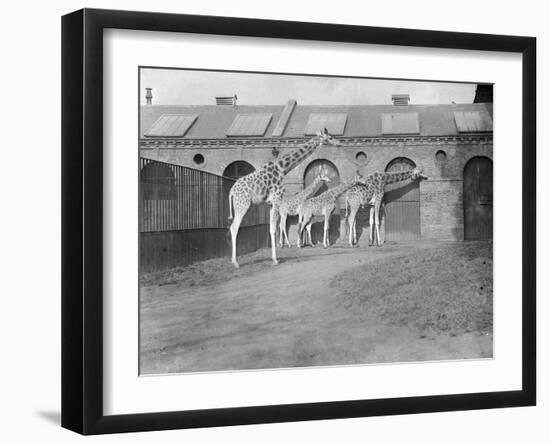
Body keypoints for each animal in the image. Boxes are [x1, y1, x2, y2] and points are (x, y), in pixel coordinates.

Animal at [230, 126, 340, 268]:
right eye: (330, 137)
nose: (338, 143)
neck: (282, 168)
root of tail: (232, 191)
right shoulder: (276, 199)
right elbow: (275, 229)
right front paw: (276, 259)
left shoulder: (271, 204)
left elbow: (273, 228)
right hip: (242, 204)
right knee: (234, 227)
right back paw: (235, 262)